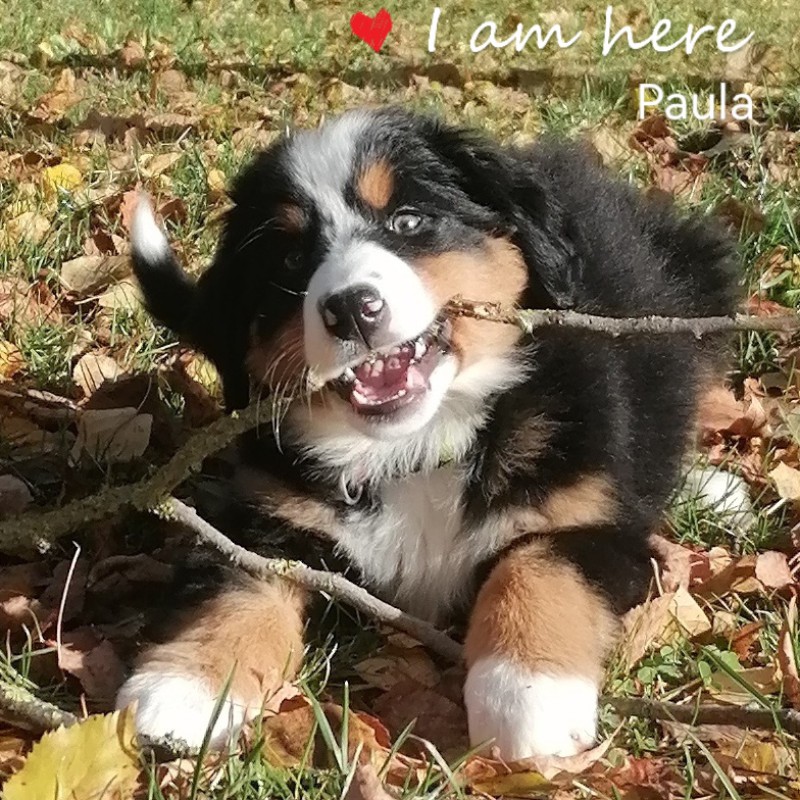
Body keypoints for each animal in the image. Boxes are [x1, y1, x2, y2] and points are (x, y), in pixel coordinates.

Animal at [118, 107, 738, 759]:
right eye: (289, 259)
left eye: (409, 220)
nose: (351, 308)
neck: (418, 448)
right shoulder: (266, 513)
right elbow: (237, 586)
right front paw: (185, 687)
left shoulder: (590, 517)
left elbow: (538, 568)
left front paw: (528, 695)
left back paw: (715, 487)